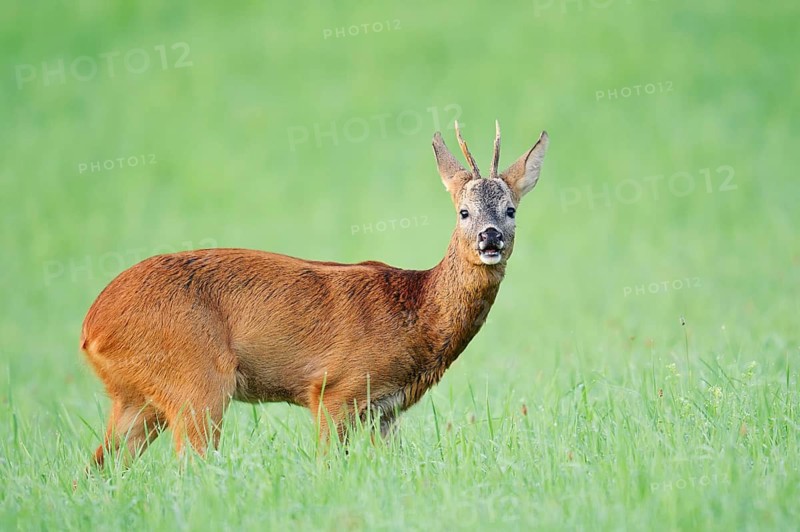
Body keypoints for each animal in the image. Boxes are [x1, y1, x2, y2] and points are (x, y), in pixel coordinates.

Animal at [80, 121, 549, 467]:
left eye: (510, 210)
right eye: (463, 212)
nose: (490, 237)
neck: (417, 313)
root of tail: (91, 327)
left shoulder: (385, 410)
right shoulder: (334, 390)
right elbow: (328, 466)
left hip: (137, 398)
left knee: (97, 467)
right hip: (197, 380)